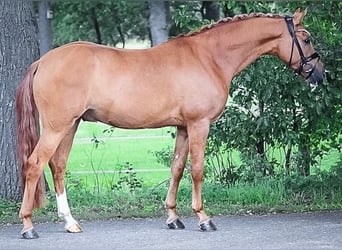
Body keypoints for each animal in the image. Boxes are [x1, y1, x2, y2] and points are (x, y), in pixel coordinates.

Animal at [16, 8, 324, 238]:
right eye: (306, 39)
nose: (321, 74)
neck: (208, 58)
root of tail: (43, 61)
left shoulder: (184, 127)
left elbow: (176, 168)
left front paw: (173, 217)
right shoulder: (200, 124)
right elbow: (197, 169)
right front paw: (203, 218)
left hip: (71, 125)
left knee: (58, 166)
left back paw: (70, 222)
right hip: (57, 127)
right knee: (35, 164)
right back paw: (28, 225)